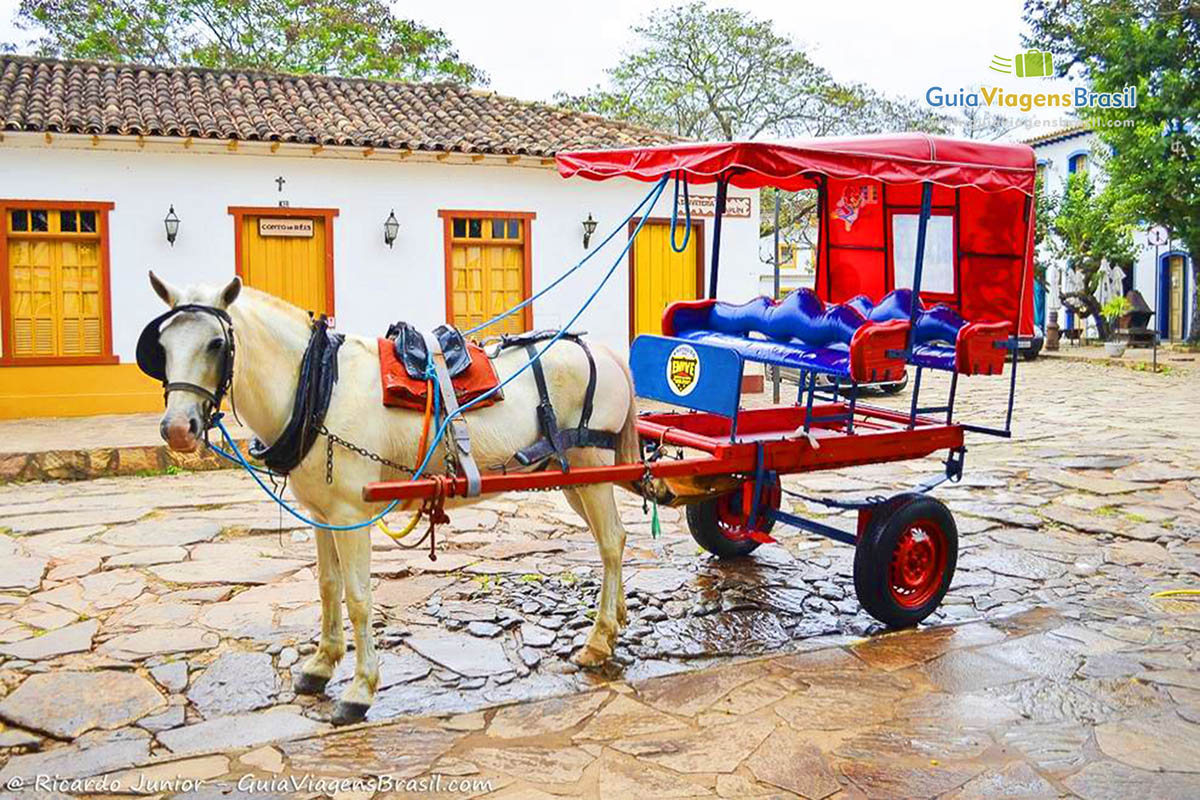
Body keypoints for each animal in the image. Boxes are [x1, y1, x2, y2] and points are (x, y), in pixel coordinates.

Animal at [146, 271, 643, 724]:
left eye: (215, 343)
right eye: (162, 346)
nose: (178, 429)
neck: (320, 385)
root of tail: (605, 353)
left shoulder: (348, 514)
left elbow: (358, 597)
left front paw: (359, 690)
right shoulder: (321, 513)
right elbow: (328, 587)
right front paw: (320, 666)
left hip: (594, 467)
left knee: (610, 543)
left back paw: (598, 641)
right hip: (573, 475)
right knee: (614, 542)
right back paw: (616, 620)